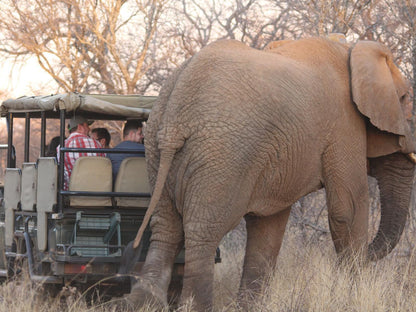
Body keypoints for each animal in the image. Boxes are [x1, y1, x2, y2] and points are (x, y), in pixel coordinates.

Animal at [125, 36, 416, 310]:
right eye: (403, 99)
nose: (368, 254)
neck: (352, 50)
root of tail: (176, 107)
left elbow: (268, 222)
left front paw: (248, 307)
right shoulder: (344, 122)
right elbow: (348, 208)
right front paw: (351, 300)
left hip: (157, 149)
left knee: (165, 227)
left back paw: (144, 304)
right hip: (222, 152)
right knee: (204, 230)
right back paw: (194, 306)